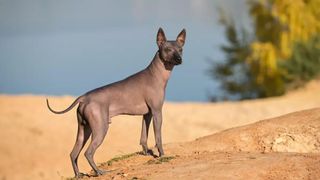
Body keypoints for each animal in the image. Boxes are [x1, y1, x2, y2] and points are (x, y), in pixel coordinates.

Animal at [45, 27, 185, 177]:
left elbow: (143, 136)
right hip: (101, 128)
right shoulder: (157, 112)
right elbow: (158, 137)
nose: (179, 59)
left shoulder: (147, 114)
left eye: (180, 49)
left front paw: (146, 153)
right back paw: (99, 172)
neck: (156, 74)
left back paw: (78, 175)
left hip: (84, 130)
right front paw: (162, 154)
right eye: (168, 49)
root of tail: (84, 97)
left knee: (73, 153)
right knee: (88, 153)